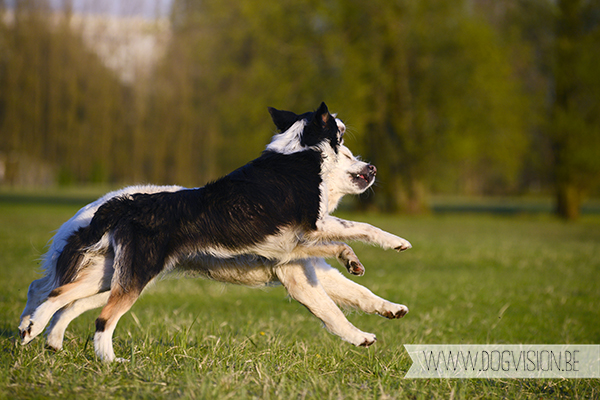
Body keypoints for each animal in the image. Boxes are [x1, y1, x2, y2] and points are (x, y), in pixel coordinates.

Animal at [18, 103, 412, 362]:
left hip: (108, 276)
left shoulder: (305, 266)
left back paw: (37, 332)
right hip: (133, 276)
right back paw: (107, 360)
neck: (298, 159)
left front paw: (388, 307)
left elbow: (357, 293)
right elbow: (353, 245)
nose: (372, 167)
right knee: (96, 315)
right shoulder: (302, 249)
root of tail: (120, 203)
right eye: (345, 148)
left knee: (57, 295)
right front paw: (392, 246)